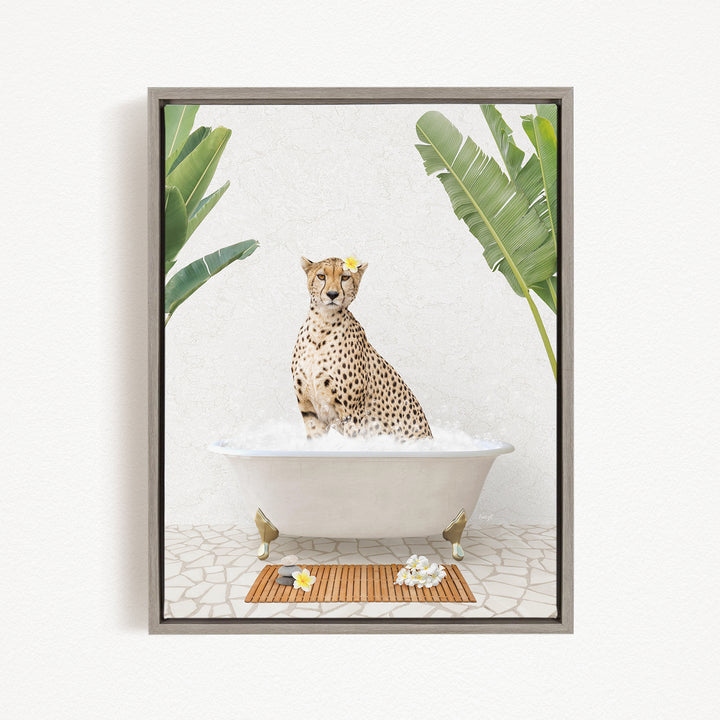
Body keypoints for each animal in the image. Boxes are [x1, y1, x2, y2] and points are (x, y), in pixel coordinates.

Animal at [291, 256, 432, 441]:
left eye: (345, 277)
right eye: (321, 276)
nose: (332, 294)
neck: (322, 325)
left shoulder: (352, 414)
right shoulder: (310, 411)